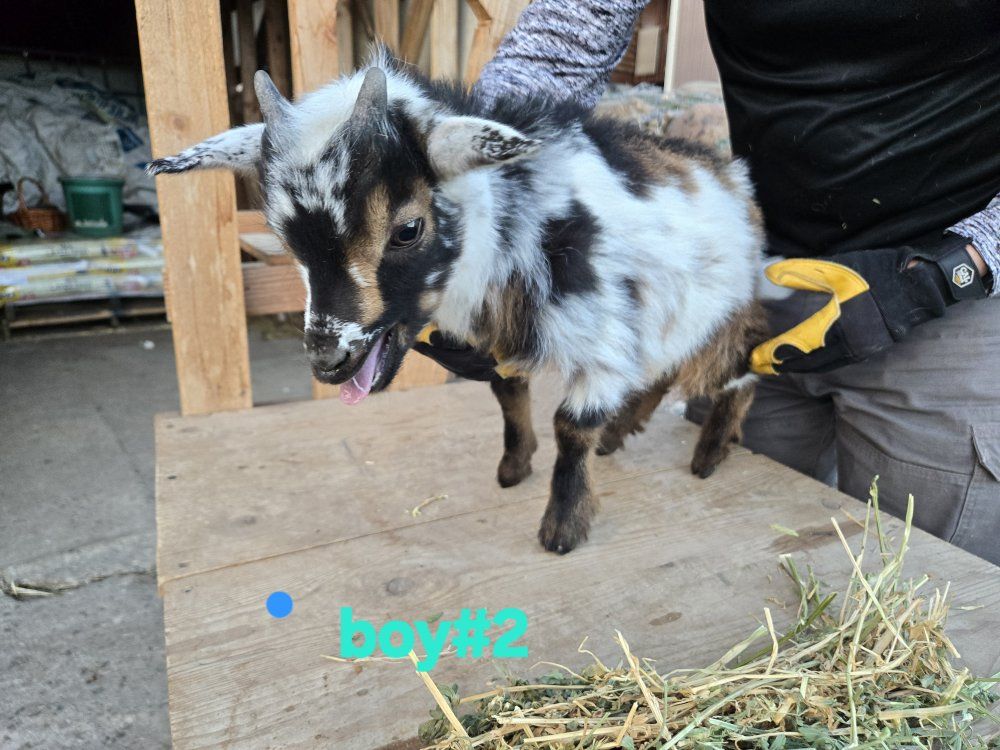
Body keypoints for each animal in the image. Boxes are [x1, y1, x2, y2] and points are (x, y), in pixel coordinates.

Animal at [150, 52, 769, 554]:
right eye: (286, 241)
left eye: (408, 230)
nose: (329, 362)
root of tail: (732, 176)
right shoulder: (504, 343)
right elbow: (508, 395)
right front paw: (514, 466)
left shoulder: (602, 340)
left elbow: (571, 427)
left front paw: (563, 527)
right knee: (661, 373)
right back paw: (623, 434)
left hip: (716, 314)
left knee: (741, 368)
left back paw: (710, 452)